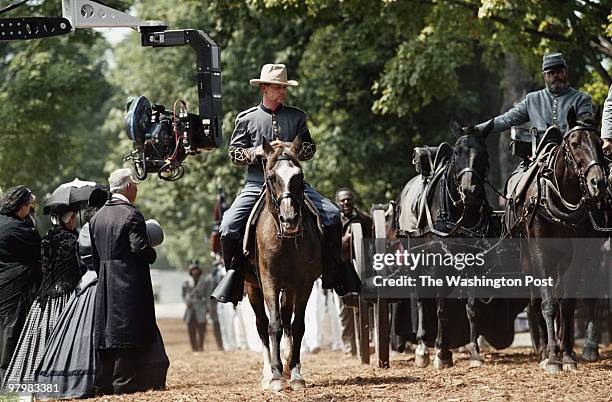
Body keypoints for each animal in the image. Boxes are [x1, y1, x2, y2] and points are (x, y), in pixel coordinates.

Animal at [244, 134, 322, 390]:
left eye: (299, 176)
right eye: (271, 177)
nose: (289, 220)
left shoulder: (303, 284)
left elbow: (297, 326)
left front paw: (295, 373)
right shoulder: (269, 281)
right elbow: (274, 325)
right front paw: (276, 375)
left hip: (289, 288)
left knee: (288, 320)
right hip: (252, 287)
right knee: (262, 324)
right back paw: (268, 373)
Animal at [402, 121, 498, 370]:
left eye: (484, 154)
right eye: (457, 153)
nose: (469, 190)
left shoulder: (474, 262)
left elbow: (472, 308)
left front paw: (474, 352)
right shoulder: (438, 263)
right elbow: (441, 308)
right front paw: (442, 353)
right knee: (421, 300)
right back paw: (423, 348)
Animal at [512, 107, 608, 374]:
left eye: (600, 143)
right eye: (574, 144)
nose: (598, 182)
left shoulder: (577, 255)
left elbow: (567, 303)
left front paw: (566, 355)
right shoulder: (539, 252)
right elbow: (548, 302)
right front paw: (552, 357)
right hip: (527, 258)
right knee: (535, 301)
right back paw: (544, 349)